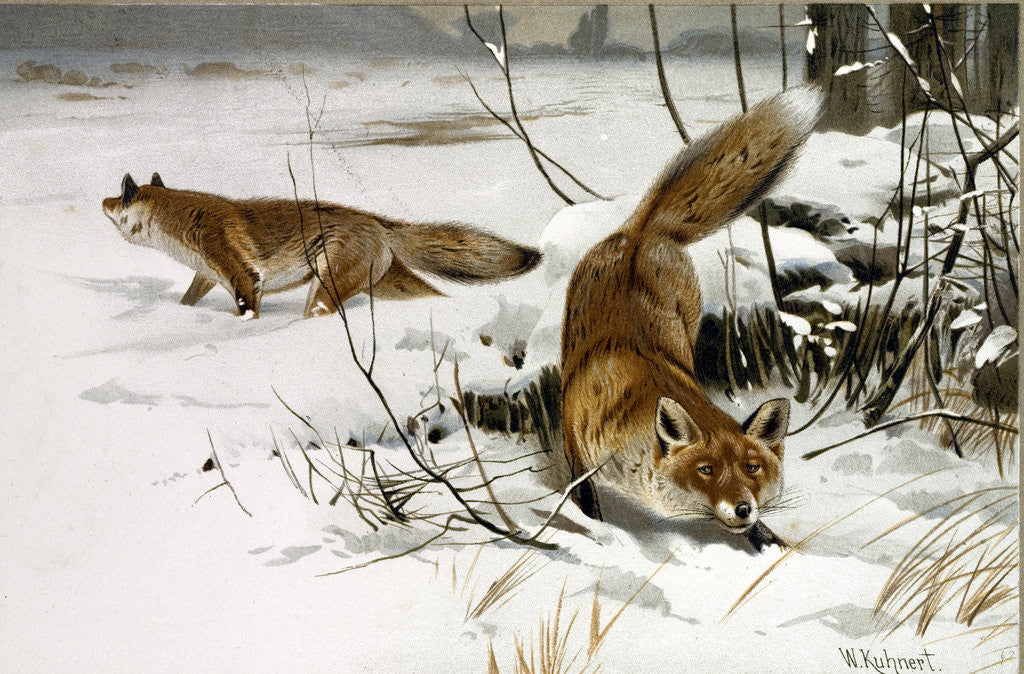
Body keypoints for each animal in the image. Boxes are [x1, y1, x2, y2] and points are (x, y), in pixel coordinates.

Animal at [101, 173, 542, 318]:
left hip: (325, 289)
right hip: (388, 285)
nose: (101, 202)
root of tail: (379, 222)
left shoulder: (243, 275)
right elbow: (187, 301)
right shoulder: (207, 275)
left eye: (120, 197)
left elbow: (246, 312)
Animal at [560, 88, 822, 552]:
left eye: (752, 468)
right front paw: (597, 530)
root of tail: (640, 231)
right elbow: (584, 498)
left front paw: (772, 546)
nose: (743, 508)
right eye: (707, 471)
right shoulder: (577, 445)